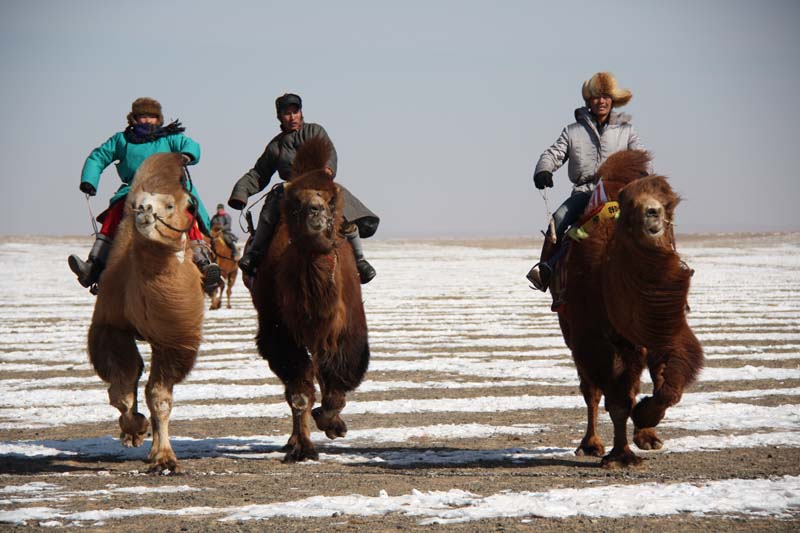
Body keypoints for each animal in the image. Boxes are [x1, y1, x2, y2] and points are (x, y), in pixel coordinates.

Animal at [87, 152, 205, 474]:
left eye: (175, 205)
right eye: (136, 202)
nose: (144, 210)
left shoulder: (173, 338)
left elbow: (159, 396)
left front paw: (164, 458)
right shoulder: (110, 326)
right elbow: (121, 388)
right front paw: (134, 429)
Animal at [251, 136, 370, 463]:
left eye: (330, 199)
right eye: (294, 202)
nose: (314, 211)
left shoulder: (346, 330)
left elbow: (337, 381)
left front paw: (332, 423)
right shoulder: (280, 332)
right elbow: (300, 392)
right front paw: (303, 447)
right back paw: (293, 441)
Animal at [555, 150, 704, 468]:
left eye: (670, 203)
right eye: (630, 204)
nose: (653, 213)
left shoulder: (662, 329)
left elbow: (668, 386)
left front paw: (646, 421)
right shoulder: (595, 339)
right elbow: (617, 400)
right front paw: (620, 456)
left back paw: (647, 437)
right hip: (573, 334)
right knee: (592, 391)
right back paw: (590, 445)